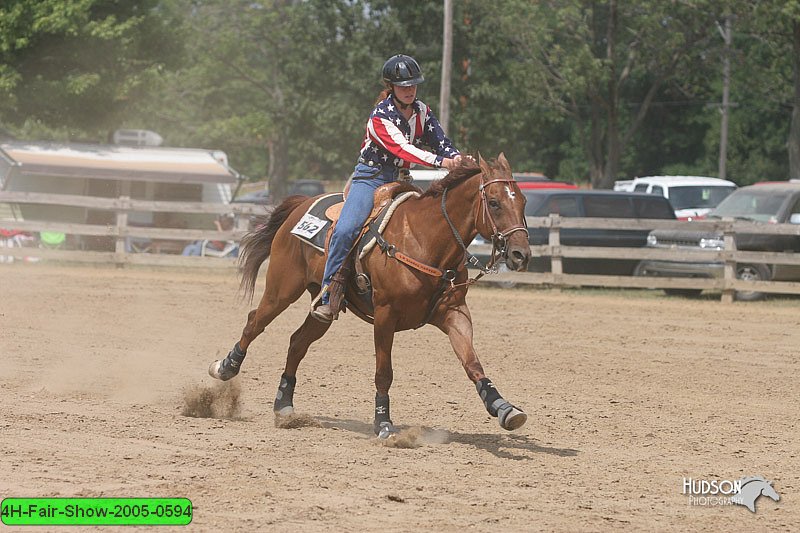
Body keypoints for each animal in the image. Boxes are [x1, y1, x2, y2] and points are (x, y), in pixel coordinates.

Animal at [208, 153, 532, 436]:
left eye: (523, 201)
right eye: (494, 203)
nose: (521, 254)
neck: (424, 240)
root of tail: (301, 205)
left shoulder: (454, 313)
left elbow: (472, 363)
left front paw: (504, 408)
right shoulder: (385, 316)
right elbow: (384, 372)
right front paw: (383, 423)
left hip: (323, 306)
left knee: (297, 342)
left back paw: (284, 405)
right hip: (282, 290)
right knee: (254, 322)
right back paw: (226, 367)